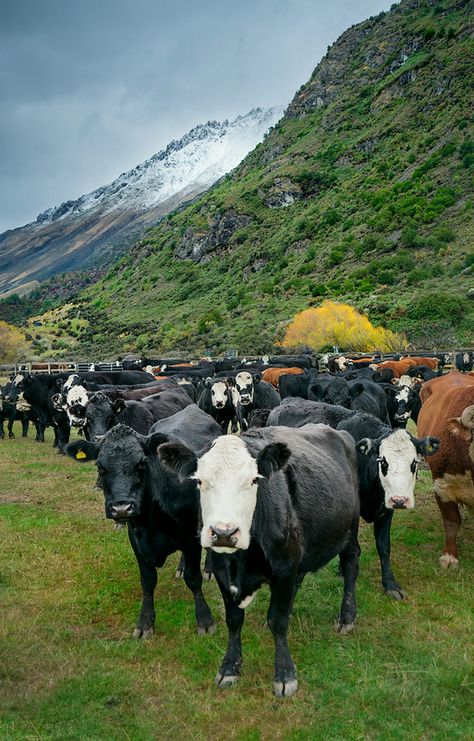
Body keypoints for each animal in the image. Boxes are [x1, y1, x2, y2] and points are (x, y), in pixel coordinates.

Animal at [65, 404, 223, 636]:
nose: (121, 508)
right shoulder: (137, 540)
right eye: (100, 467)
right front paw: (145, 622)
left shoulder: (190, 536)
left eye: (141, 464)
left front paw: (204, 619)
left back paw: (210, 568)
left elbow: (194, 579)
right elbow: (148, 581)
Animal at [157, 424, 358, 696]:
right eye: (199, 480)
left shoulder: (284, 567)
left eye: (254, 480)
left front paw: (284, 674)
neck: (242, 560)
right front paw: (229, 667)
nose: (224, 533)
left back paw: (347, 617)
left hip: (350, 531)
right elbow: (234, 620)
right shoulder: (222, 571)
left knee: (350, 567)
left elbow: (279, 620)